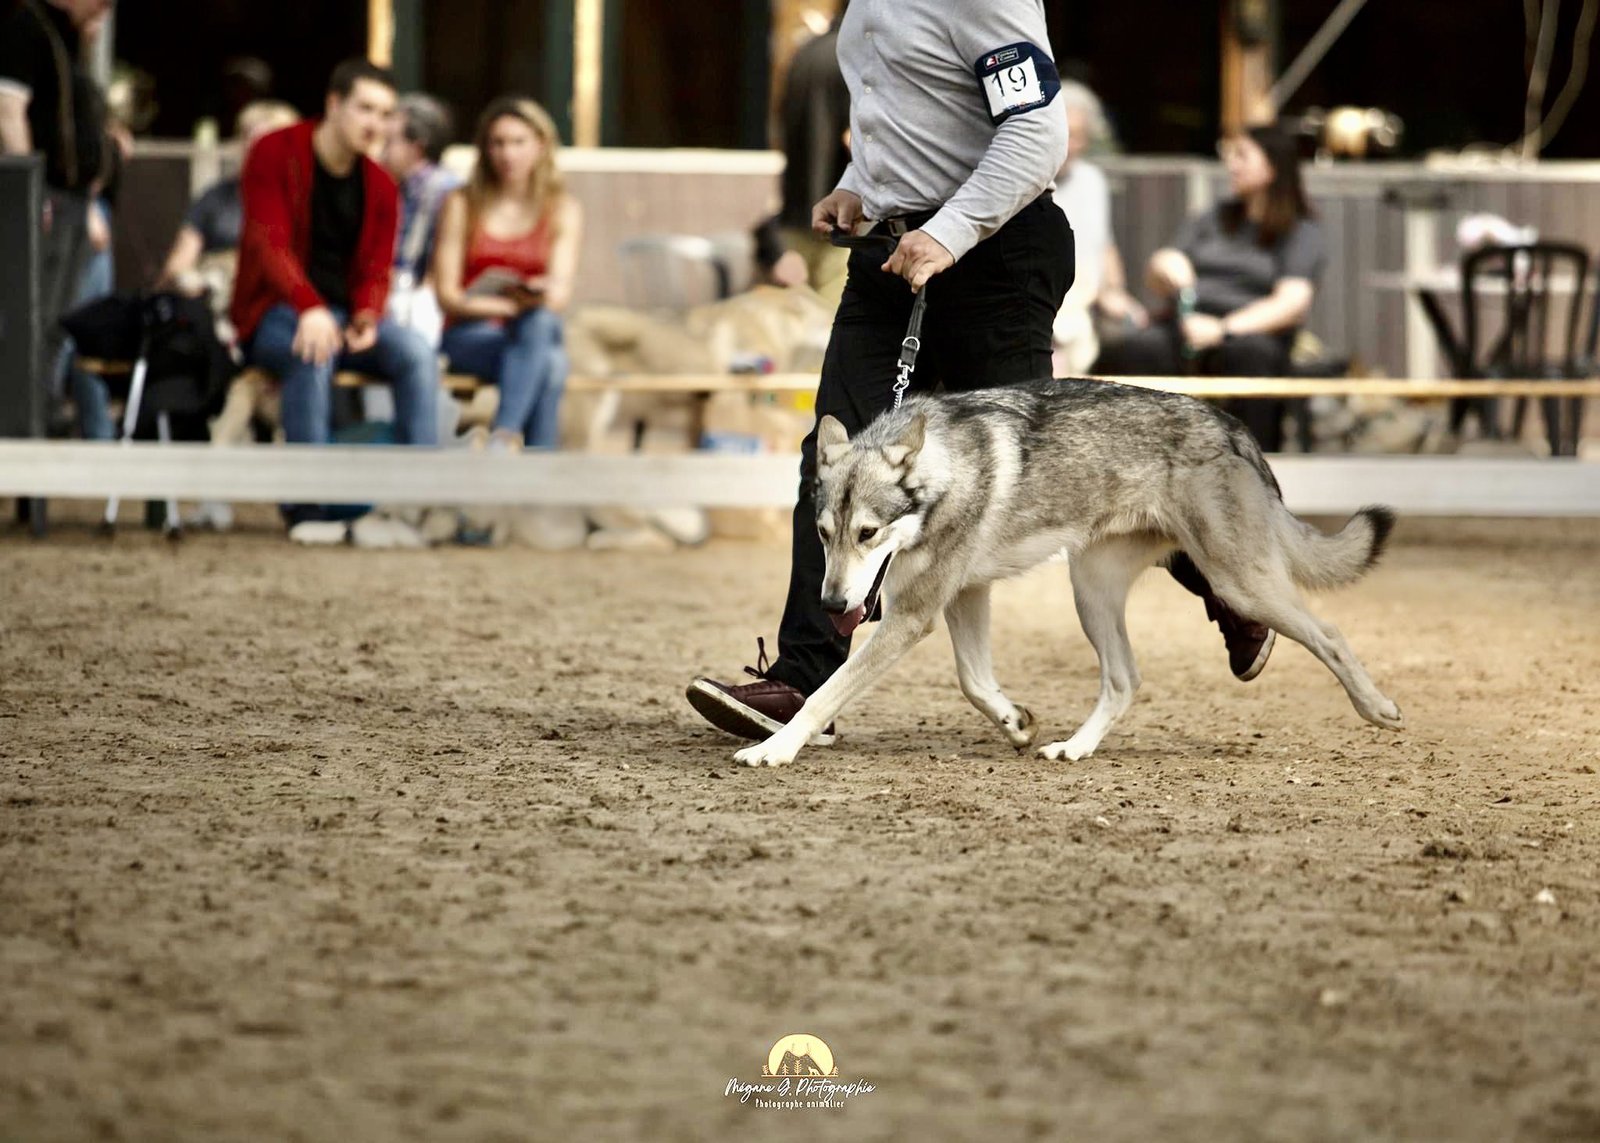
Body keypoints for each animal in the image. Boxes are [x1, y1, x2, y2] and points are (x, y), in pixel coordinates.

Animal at [730, 378, 1403, 768]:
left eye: (867, 535)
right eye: (822, 535)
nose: (831, 604)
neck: (947, 470)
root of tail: (1238, 429)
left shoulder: (914, 615)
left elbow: (826, 692)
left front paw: (773, 747)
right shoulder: (963, 597)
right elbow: (974, 681)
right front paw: (1016, 723)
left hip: (1238, 582)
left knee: (1329, 634)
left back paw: (1378, 709)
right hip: (1092, 591)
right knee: (1125, 679)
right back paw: (1075, 749)